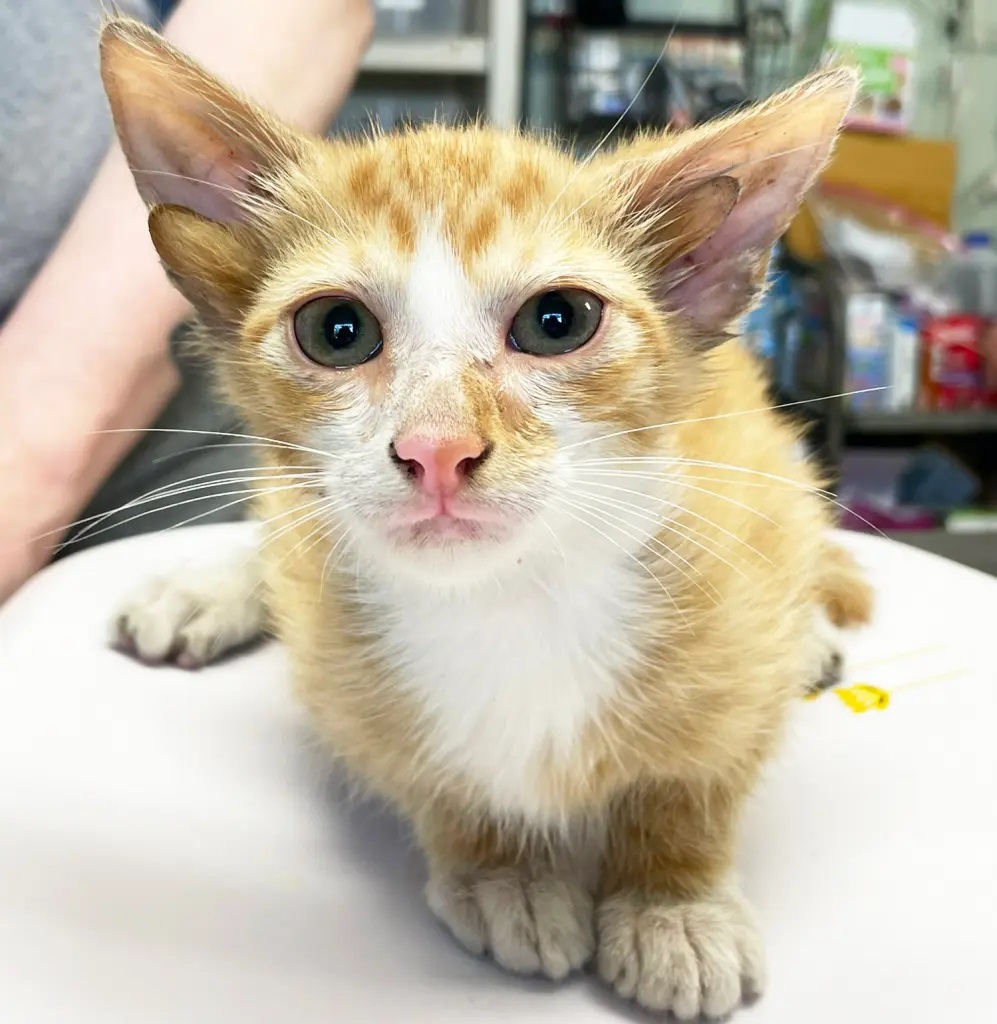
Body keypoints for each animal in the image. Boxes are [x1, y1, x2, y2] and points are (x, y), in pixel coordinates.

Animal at [103, 18, 876, 1015]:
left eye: (558, 321)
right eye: (335, 332)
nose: (438, 448)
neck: (511, 599)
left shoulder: (743, 544)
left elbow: (697, 773)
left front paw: (672, 900)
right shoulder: (347, 686)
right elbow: (434, 777)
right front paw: (503, 869)